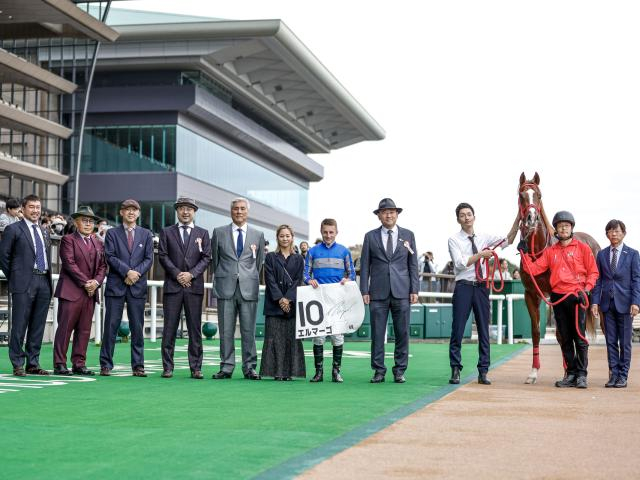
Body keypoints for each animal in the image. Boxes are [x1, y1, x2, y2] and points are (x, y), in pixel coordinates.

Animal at [516, 172, 600, 382]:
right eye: (521, 195)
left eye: (538, 195)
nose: (531, 219)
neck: (538, 253)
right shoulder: (532, 294)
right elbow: (536, 332)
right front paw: (533, 372)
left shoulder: (555, 295)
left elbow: (563, 335)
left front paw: (567, 371)